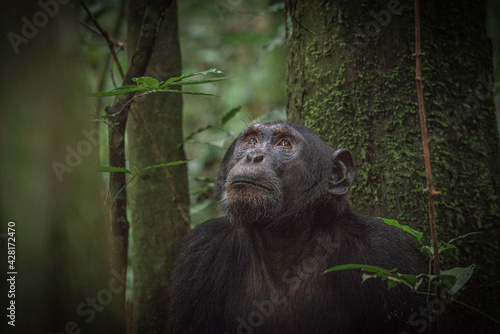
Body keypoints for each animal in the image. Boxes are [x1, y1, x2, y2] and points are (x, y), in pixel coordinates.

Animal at [167, 121, 426, 332]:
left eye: (284, 144)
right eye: (251, 140)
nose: (253, 155)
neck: (283, 235)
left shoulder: (385, 254)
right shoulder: (202, 251)